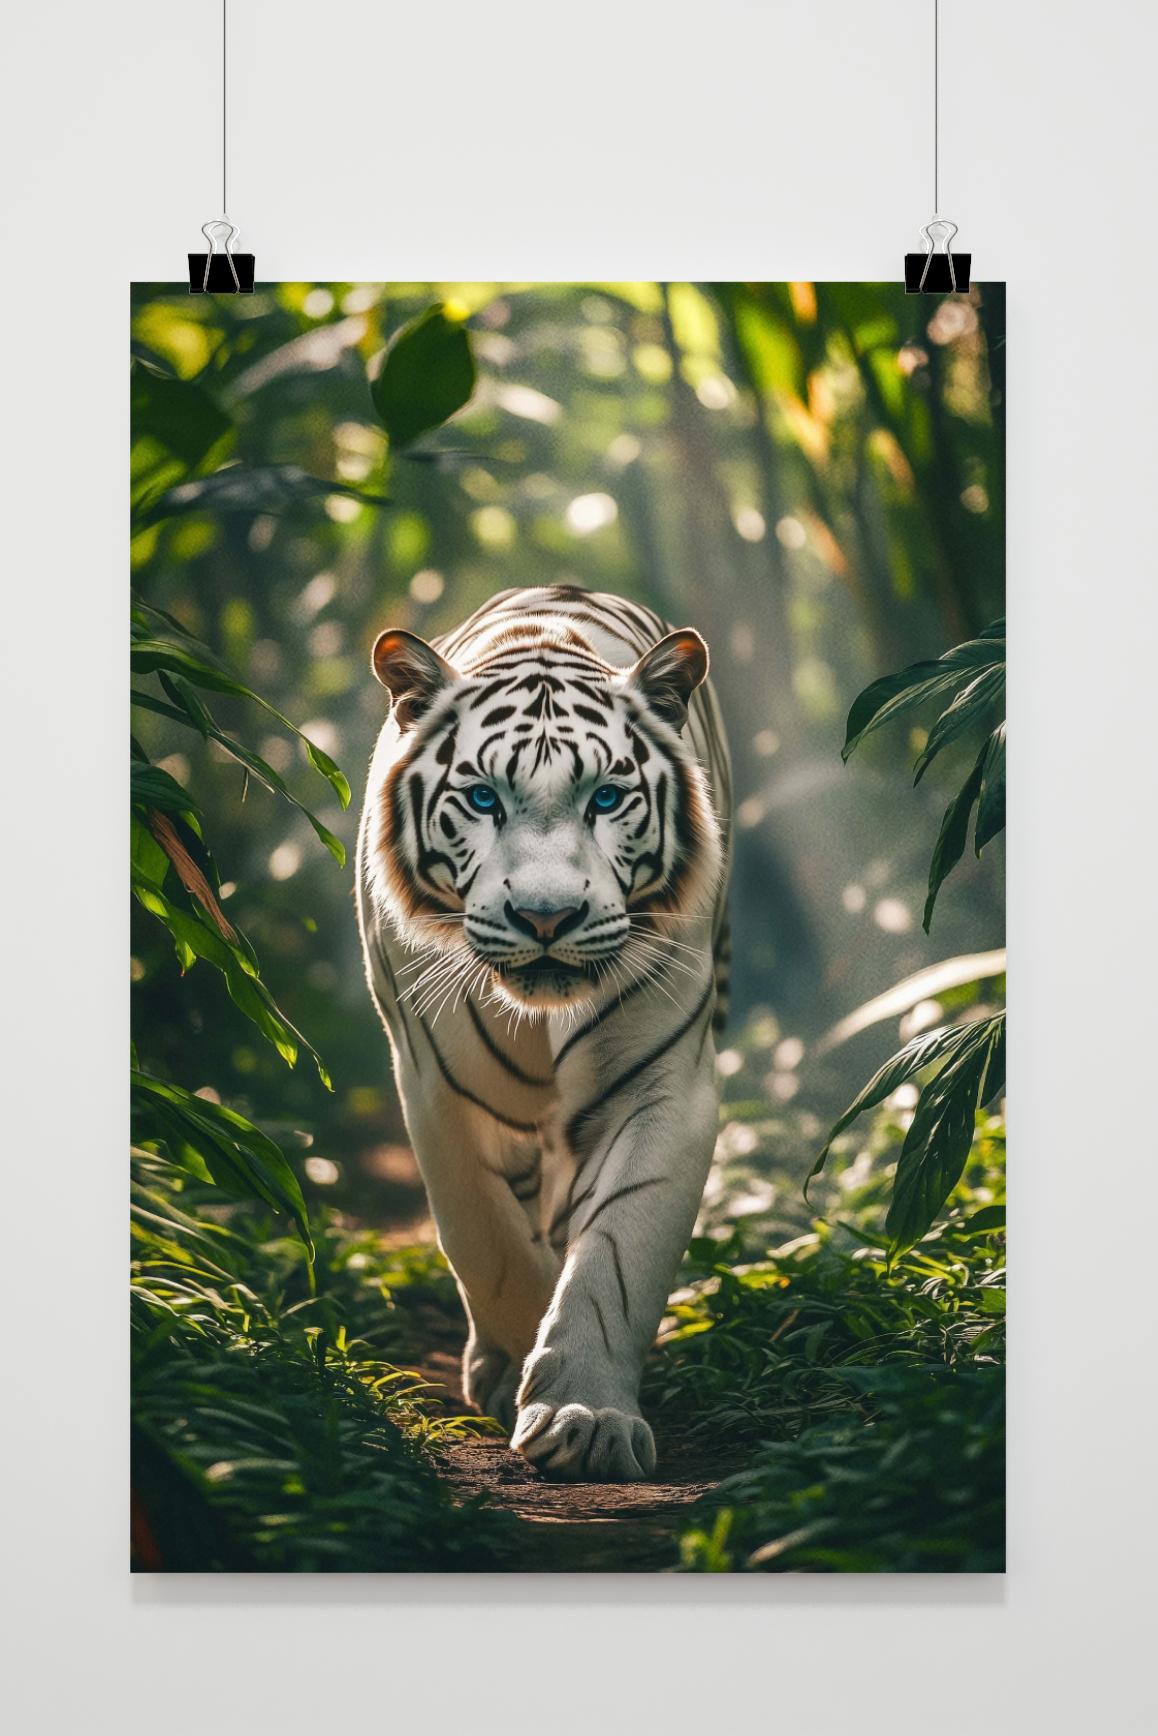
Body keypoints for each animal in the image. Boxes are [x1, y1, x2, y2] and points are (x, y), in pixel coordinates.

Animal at [356, 583, 732, 1481]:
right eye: (483, 798)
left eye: (607, 798)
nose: (547, 917)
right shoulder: (436, 1088)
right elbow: (487, 1242)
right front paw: (513, 1368)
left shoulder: (665, 1085)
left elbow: (614, 1258)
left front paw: (583, 1416)